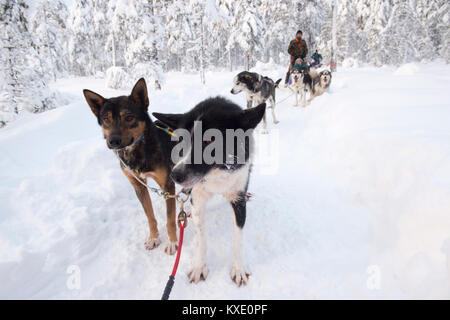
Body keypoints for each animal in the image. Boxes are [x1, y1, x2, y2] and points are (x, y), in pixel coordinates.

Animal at [83, 78, 178, 255]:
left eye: (128, 117)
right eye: (106, 119)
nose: (113, 141)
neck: (139, 150)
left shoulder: (167, 185)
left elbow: (170, 219)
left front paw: (173, 243)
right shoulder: (139, 186)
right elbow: (150, 216)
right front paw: (153, 238)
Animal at [153, 96, 266, 286]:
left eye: (210, 140)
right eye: (182, 141)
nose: (175, 175)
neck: (217, 172)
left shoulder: (238, 198)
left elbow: (238, 238)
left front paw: (238, 268)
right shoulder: (198, 198)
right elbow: (201, 238)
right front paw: (199, 266)